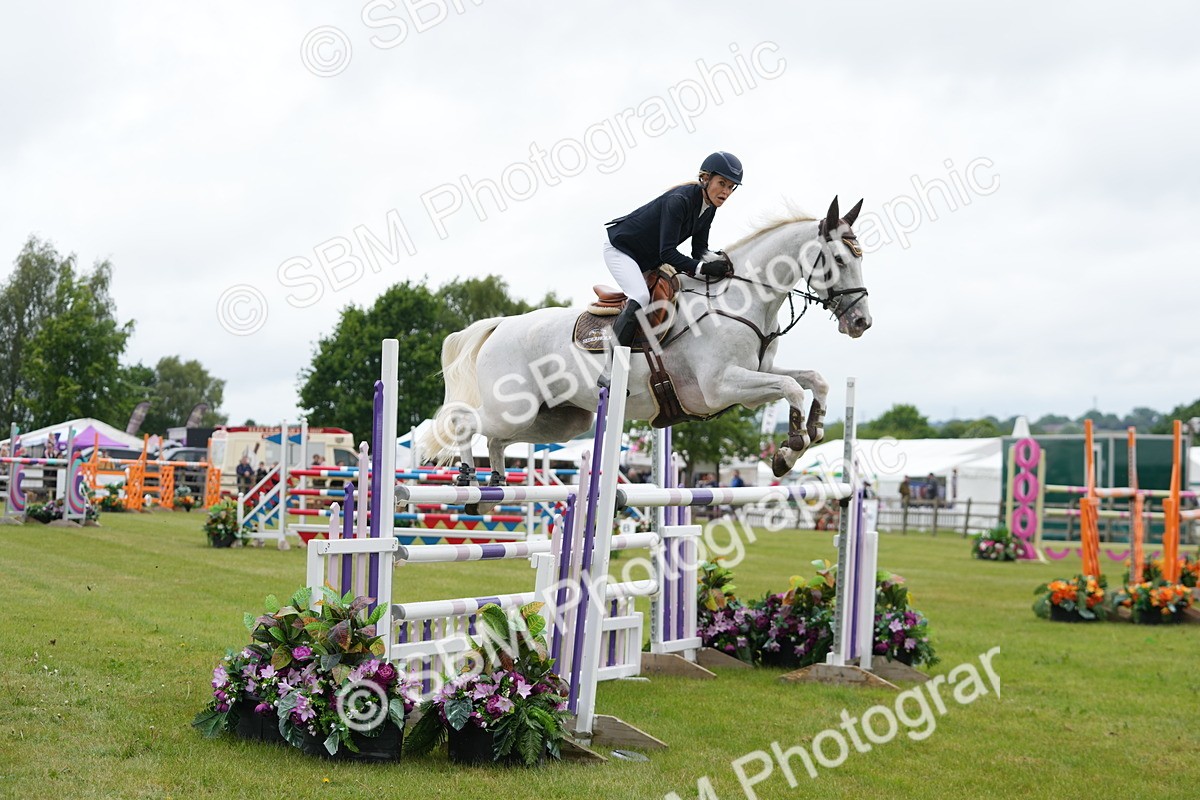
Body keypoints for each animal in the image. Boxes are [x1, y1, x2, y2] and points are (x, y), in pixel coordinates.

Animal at [420, 196, 872, 493]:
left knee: (496, 438)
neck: (744, 298)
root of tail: (500, 326)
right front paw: (788, 451)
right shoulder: (721, 387)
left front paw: (813, 428)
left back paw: (494, 479)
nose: (862, 322)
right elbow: (792, 388)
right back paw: (466, 475)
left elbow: (812, 379)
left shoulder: (756, 374)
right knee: (463, 420)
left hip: (561, 420)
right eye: (839, 259)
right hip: (515, 406)